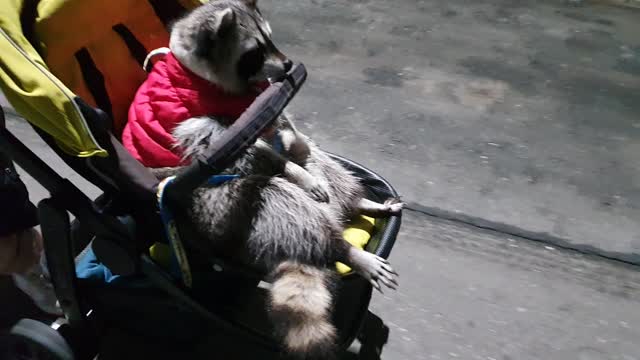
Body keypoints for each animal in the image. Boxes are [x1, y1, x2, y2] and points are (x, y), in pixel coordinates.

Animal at [160, 1, 402, 358]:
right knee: (280, 197)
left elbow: (286, 129)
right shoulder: (205, 125)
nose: (288, 64)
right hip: (229, 207)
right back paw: (345, 249)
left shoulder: (266, 113)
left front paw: (293, 146)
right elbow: (248, 149)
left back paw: (358, 201)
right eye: (254, 53)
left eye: (270, 40)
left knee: (320, 162)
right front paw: (292, 170)